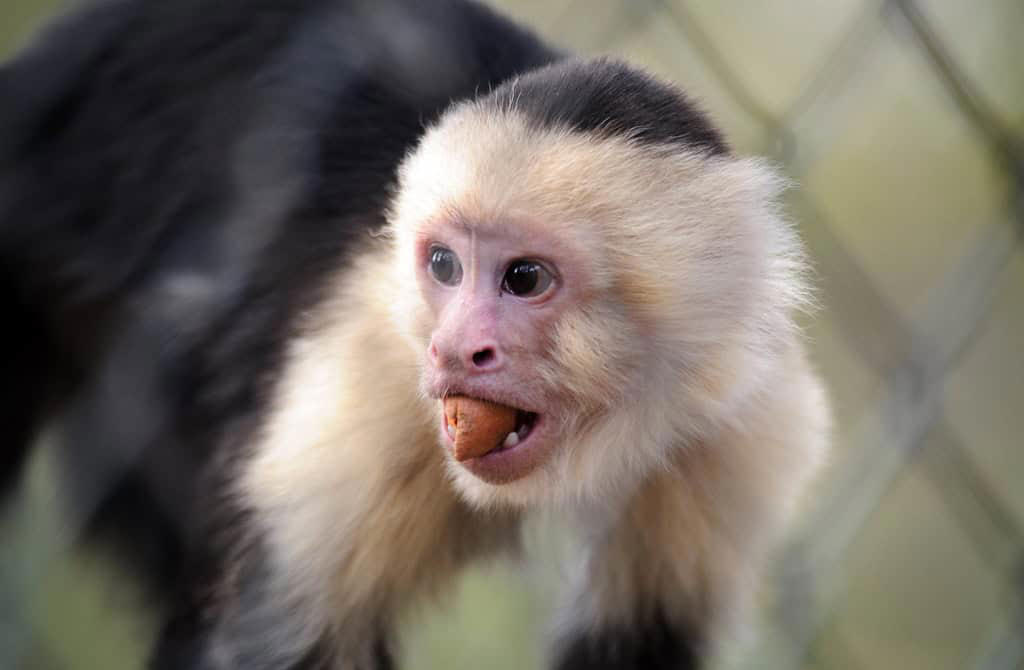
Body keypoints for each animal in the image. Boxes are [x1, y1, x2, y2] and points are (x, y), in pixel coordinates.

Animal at [0, 0, 830, 668]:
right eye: (443, 266)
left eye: (525, 278)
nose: (455, 348)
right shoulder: (364, 378)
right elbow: (283, 644)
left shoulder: (741, 421)